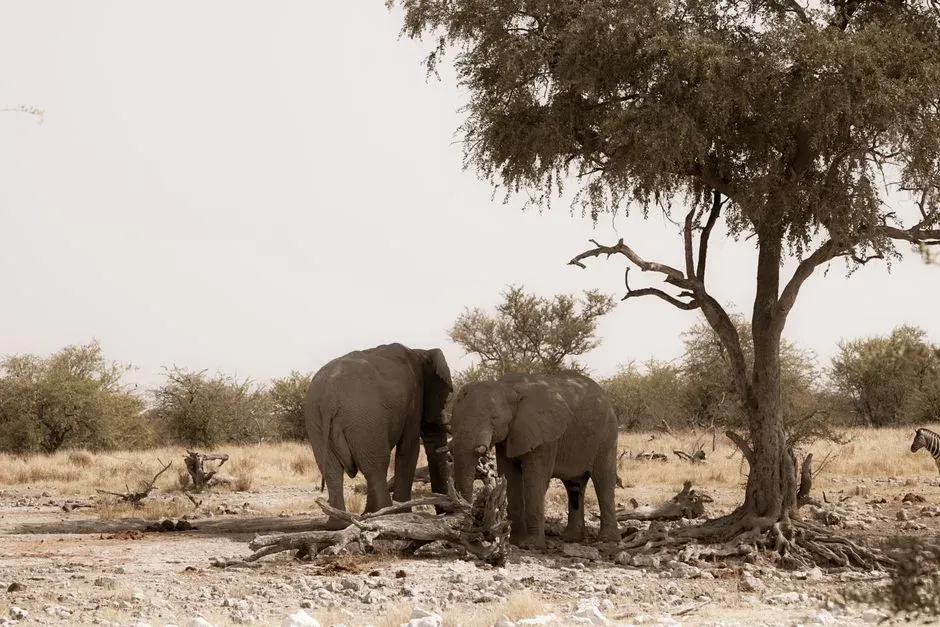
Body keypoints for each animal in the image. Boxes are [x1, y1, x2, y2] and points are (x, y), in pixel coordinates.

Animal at [304, 342, 453, 528]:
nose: (444, 511)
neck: (421, 351)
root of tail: (329, 399)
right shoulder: (414, 400)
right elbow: (409, 449)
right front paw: (403, 514)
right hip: (364, 417)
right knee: (376, 466)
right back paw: (384, 514)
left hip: (316, 420)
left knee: (333, 470)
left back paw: (339, 524)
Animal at [448, 370, 620, 549]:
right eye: (452, 420)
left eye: (494, 419)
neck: (506, 387)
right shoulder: (511, 434)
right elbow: (510, 476)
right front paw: (515, 541)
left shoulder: (545, 436)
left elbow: (536, 479)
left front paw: (531, 545)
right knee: (574, 485)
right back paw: (571, 538)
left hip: (607, 435)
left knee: (603, 481)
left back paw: (607, 540)